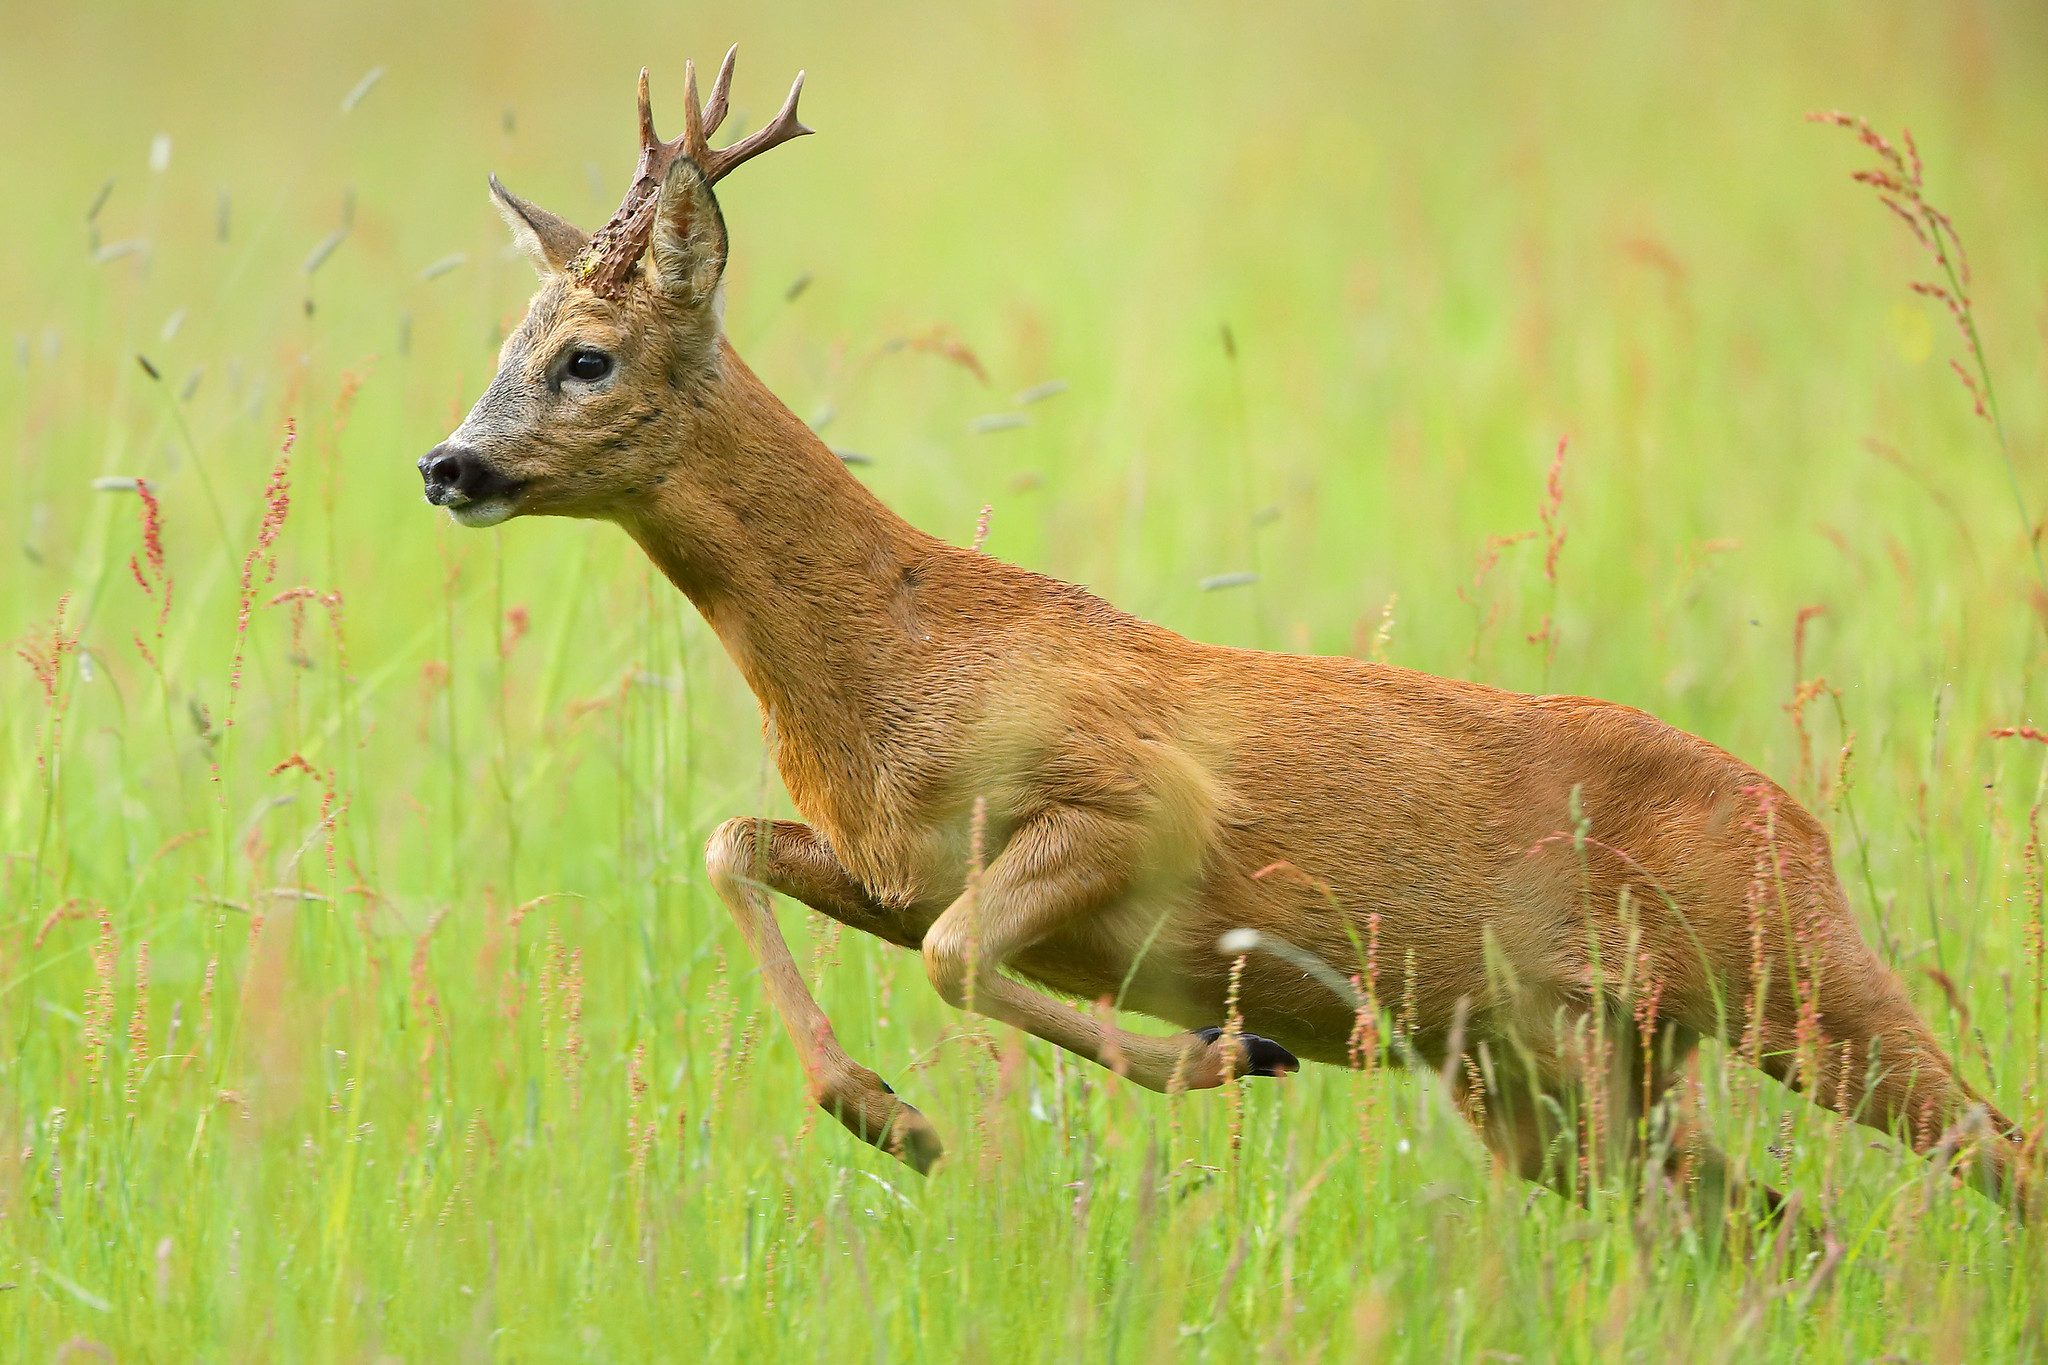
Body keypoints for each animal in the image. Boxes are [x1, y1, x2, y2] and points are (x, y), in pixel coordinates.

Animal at [415, 50, 2031, 1219]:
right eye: (502, 348)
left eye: (585, 358)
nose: (447, 466)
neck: (894, 662)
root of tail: (1801, 817)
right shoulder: (880, 858)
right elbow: (735, 851)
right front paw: (891, 1119)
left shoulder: (1132, 801)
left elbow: (951, 951)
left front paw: (1216, 1050)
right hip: (1558, 1076)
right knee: (1766, 1224)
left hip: (1792, 971)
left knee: (1992, 1153)